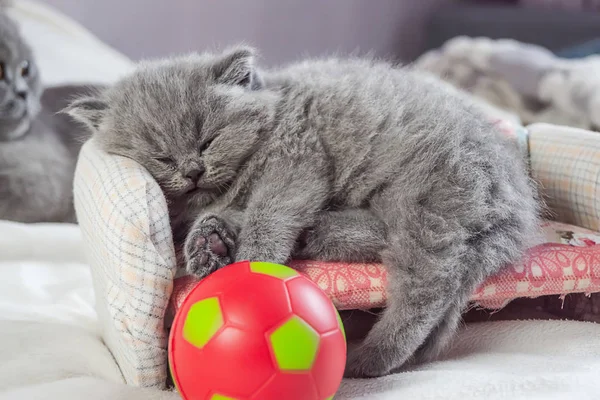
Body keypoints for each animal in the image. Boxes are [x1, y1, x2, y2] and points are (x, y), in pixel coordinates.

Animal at [65, 45, 540, 376]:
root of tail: (518, 207)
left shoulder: (295, 164)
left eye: (208, 139)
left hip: (428, 202)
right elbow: (221, 217)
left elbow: (268, 218)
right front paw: (208, 246)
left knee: (425, 290)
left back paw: (368, 359)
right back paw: (318, 234)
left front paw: (252, 265)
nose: (193, 170)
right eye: (161, 156)